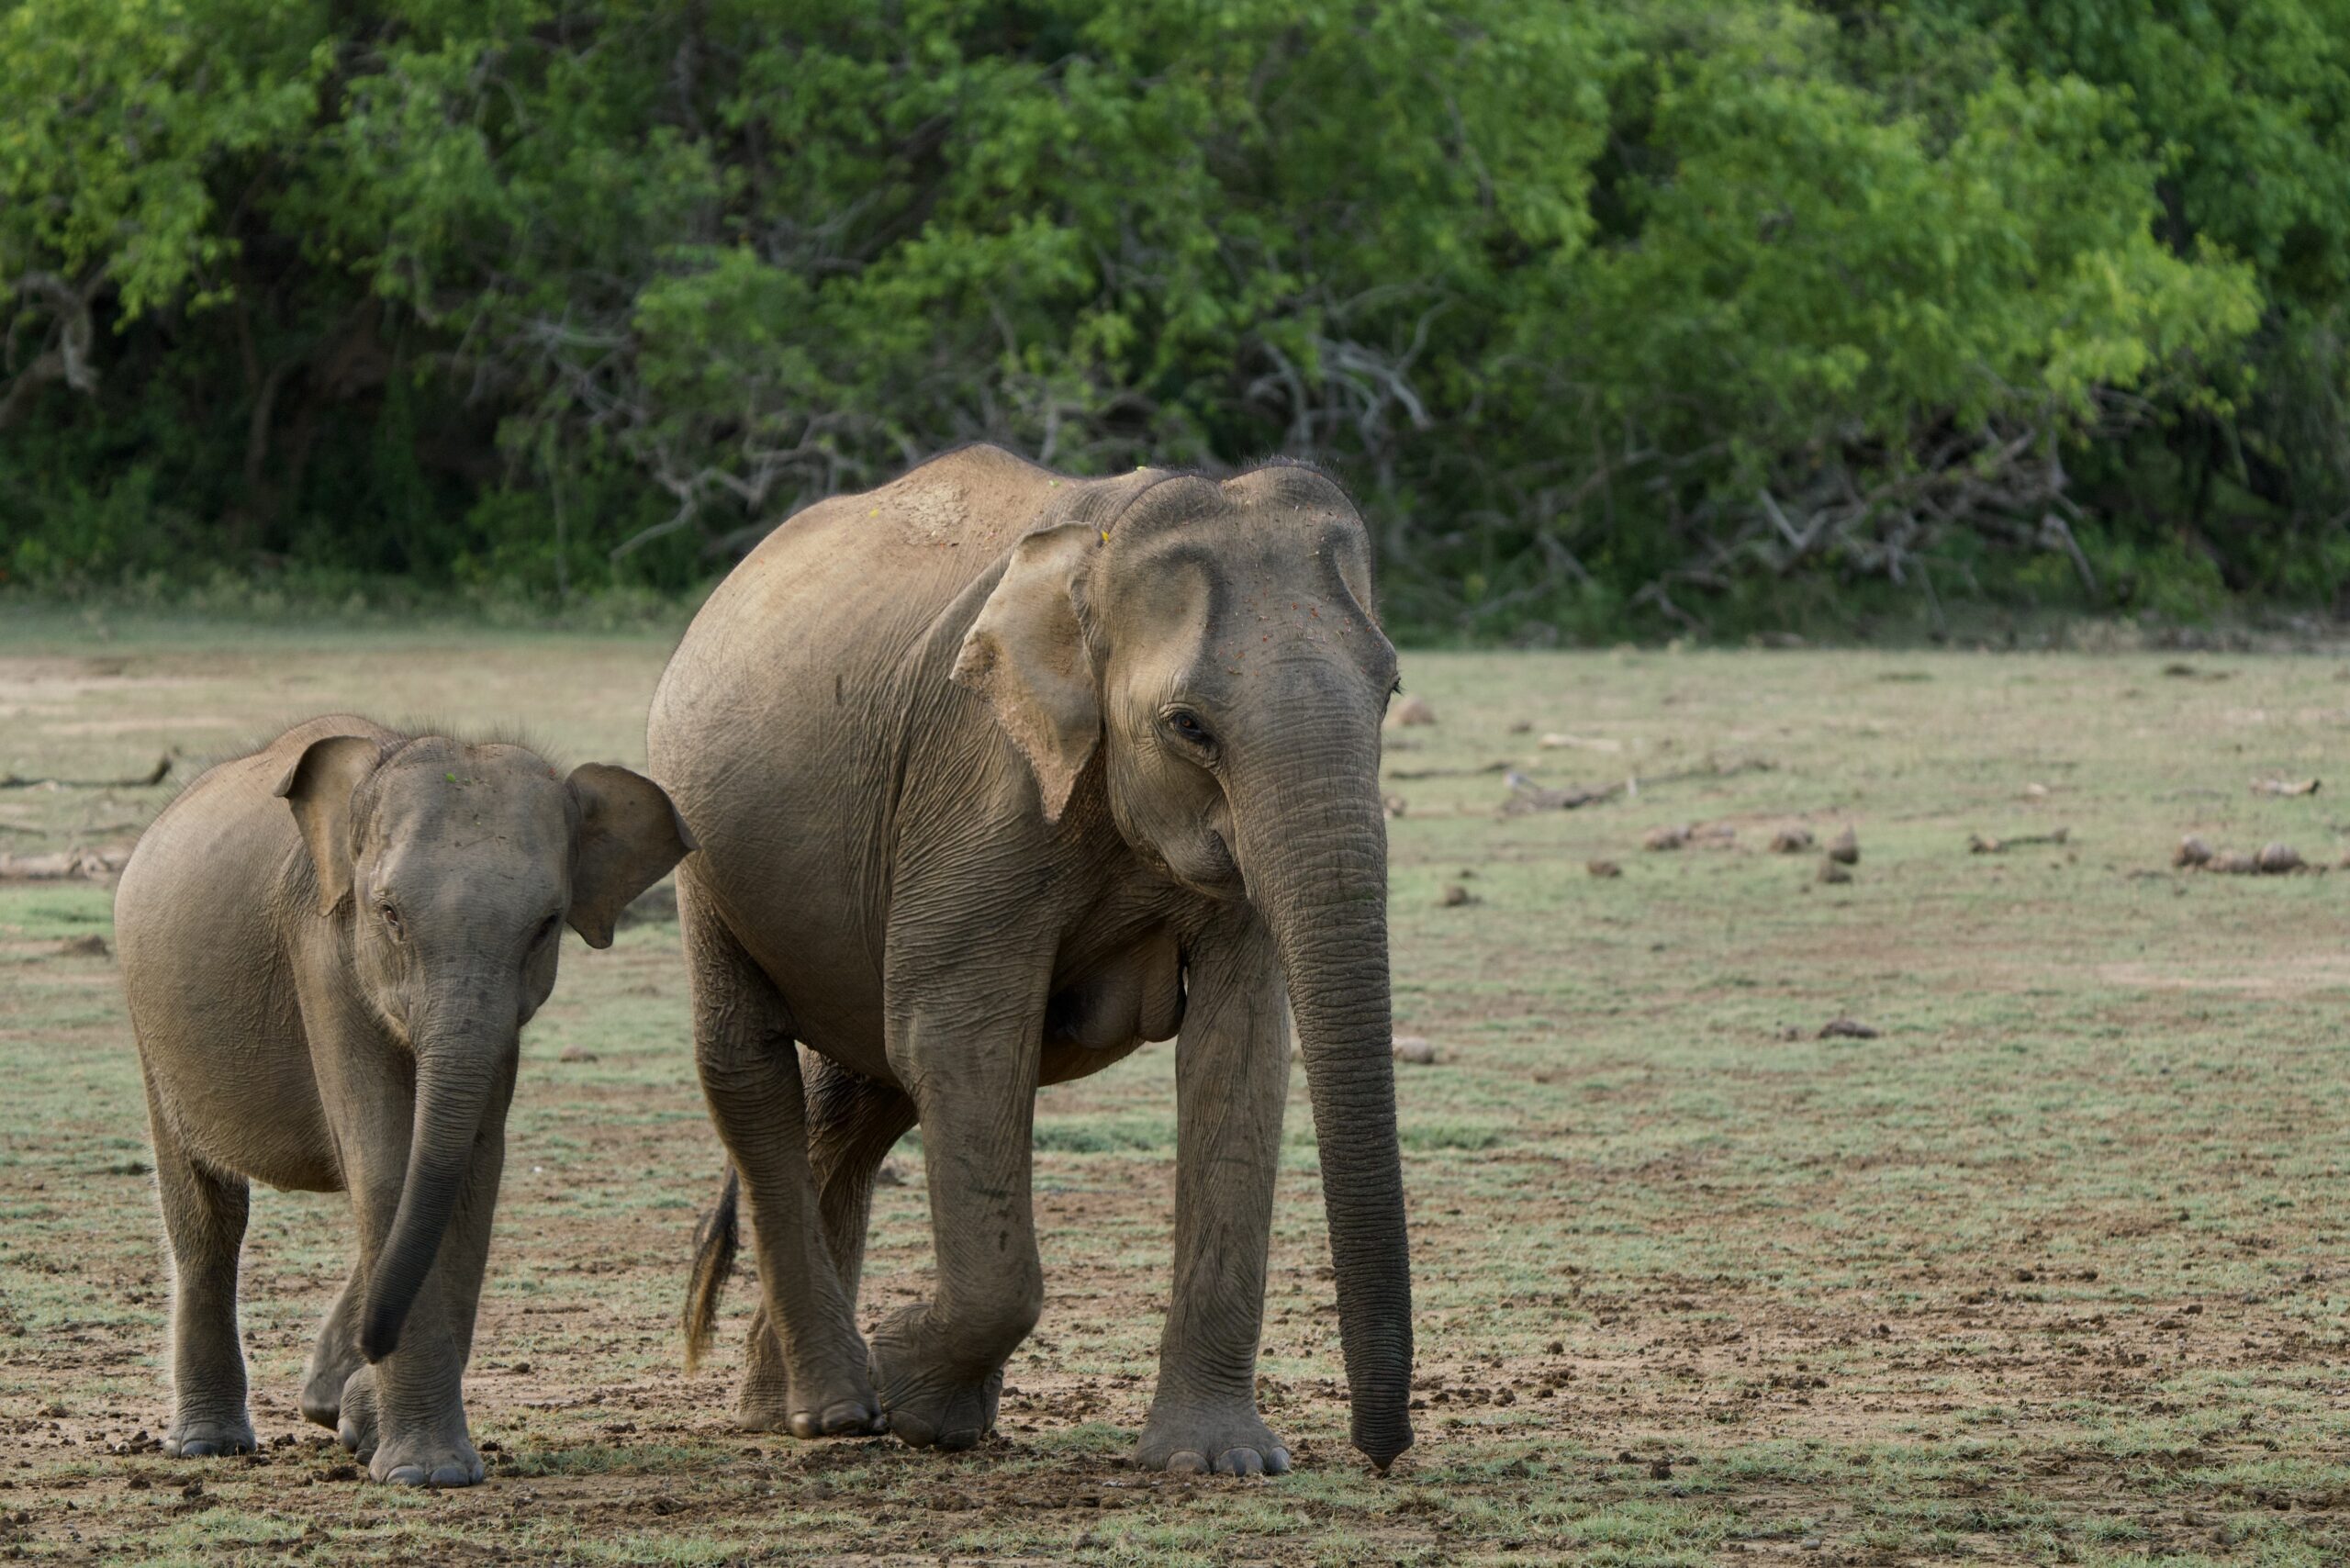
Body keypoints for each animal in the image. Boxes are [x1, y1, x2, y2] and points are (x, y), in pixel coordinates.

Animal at [113, 716, 693, 1485]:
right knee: (207, 1214)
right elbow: (386, 1159)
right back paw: (210, 1444)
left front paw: (366, 1426)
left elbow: (468, 1166)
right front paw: (425, 1472)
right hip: (151, 1024)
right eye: (388, 913)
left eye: (547, 923)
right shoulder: (323, 955)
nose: (369, 1348)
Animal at [652, 444, 1414, 1475]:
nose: (1381, 1454)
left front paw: (1216, 1462)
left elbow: (1243, 1047)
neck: (1097, 564)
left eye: (1390, 691)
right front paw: (912, 1388)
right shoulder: (980, 778)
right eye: (1189, 727)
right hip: (699, 841)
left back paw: (804, 1406)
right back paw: (837, 1411)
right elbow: (957, 1037)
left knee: (856, 1100)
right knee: (750, 1072)